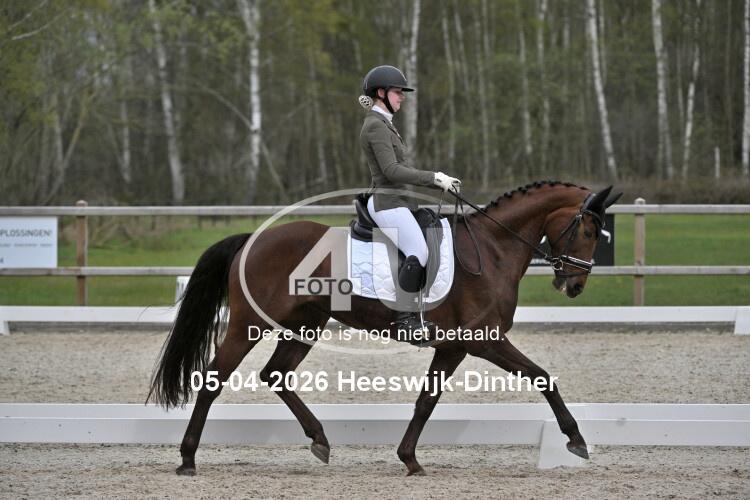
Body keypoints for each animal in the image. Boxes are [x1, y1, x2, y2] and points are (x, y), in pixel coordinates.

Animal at [147, 180, 621, 476]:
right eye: (590, 231)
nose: (574, 285)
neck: (492, 249)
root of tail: (253, 239)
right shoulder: (484, 340)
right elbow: (543, 377)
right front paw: (576, 440)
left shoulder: (453, 347)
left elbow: (426, 401)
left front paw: (409, 458)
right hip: (249, 324)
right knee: (214, 379)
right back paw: (187, 459)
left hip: (306, 324)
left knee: (276, 374)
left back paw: (320, 440)